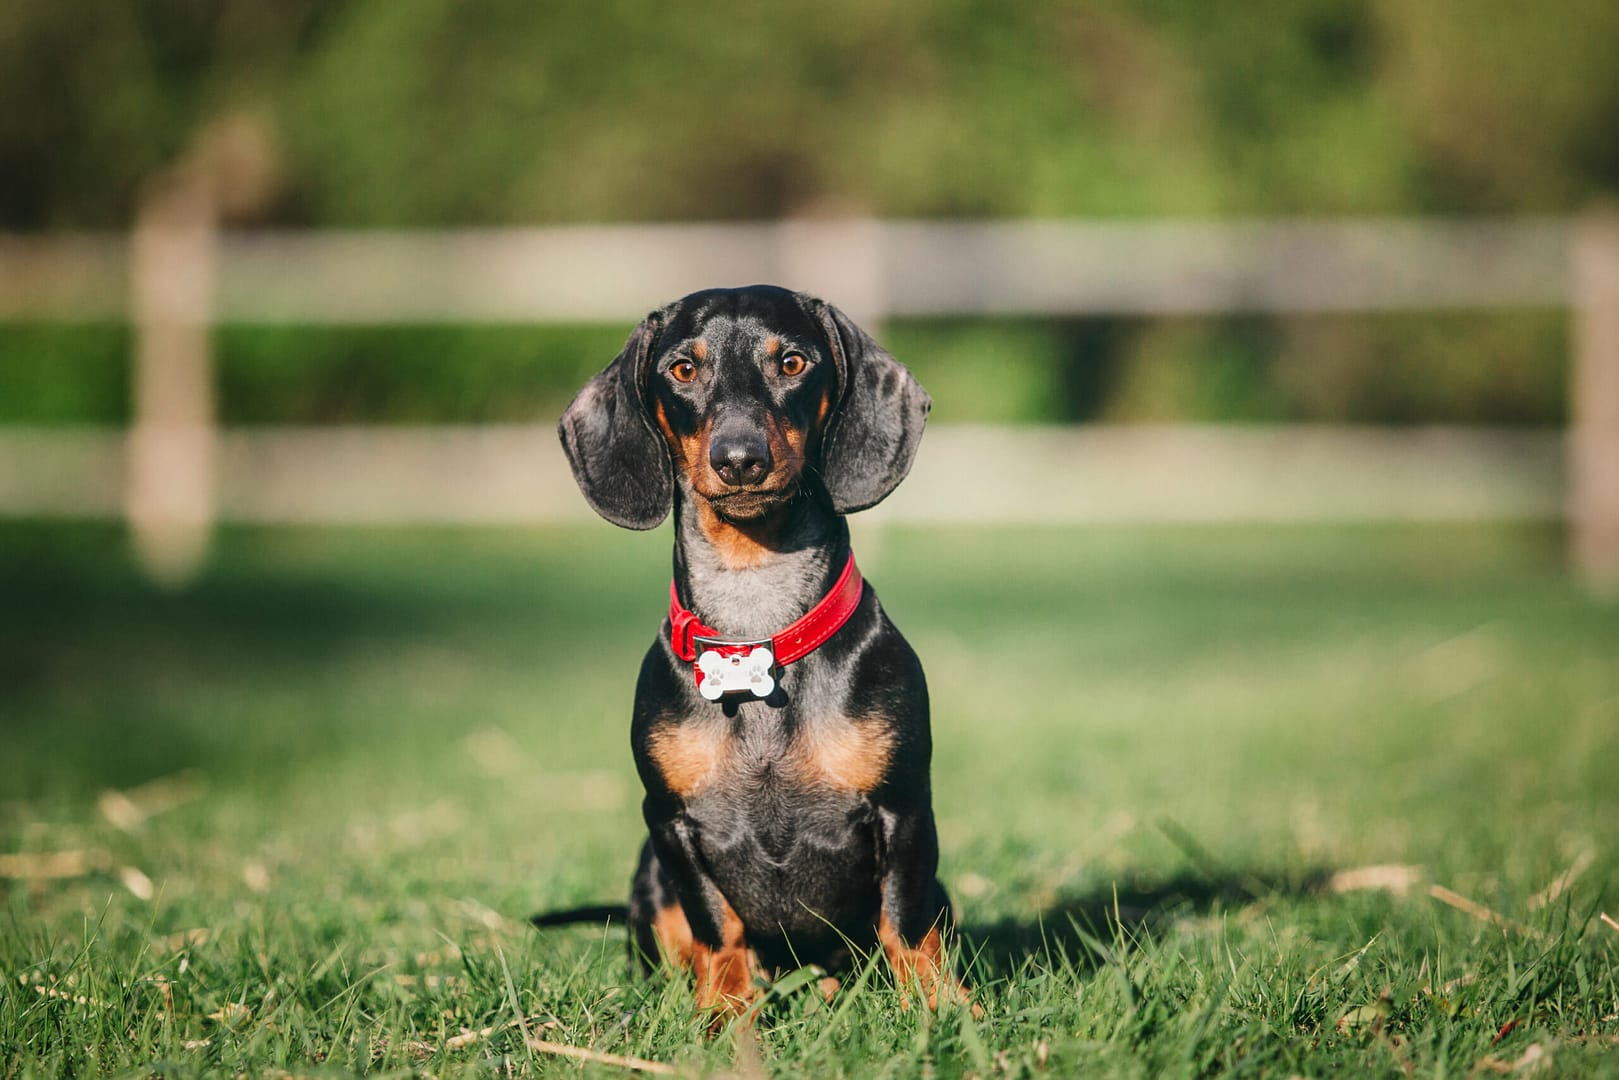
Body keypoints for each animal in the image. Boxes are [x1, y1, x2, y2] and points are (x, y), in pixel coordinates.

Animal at [550, 284, 964, 1023]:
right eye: (683, 369)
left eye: (792, 362)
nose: (739, 459)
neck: (756, 629)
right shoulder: (670, 826)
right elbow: (718, 930)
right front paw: (723, 1016)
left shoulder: (906, 810)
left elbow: (907, 923)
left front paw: (940, 1009)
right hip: (648, 876)